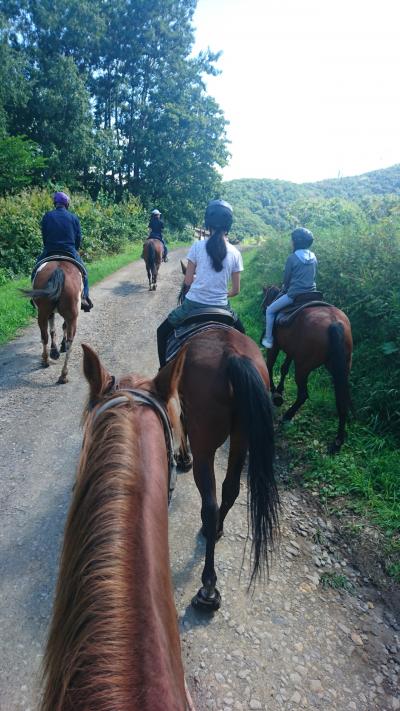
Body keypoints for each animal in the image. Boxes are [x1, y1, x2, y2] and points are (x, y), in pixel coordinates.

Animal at [155, 328, 280, 612]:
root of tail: (233, 357)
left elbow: (180, 422)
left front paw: (183, 457)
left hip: (206, 442)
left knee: (210, 504)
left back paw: (208, 589)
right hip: (242, 435)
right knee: (230, 489)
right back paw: (217, 529)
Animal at [262, 286, 354, 454]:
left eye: (265, 297)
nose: (263, 307)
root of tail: (334, 323)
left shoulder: (275, 347)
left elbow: (270, 365)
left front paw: (274, 391)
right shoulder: (292, 352)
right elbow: (284, 368)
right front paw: (279, 389)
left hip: (303, 368)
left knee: (303, 394)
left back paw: (287, 416)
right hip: (340, 370)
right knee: (341, 402)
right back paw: (337, 442)